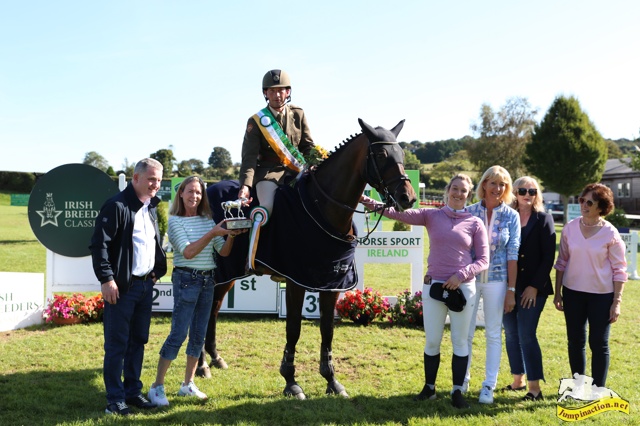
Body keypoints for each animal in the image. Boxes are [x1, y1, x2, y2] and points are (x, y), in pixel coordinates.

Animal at [201, 119, 420, 400]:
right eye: (381, 154)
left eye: (401, 153)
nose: (408, 197)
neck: (322, 207)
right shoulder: (296, 281)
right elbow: (293, 328)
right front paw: (290, 381)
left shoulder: (332, 283)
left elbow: (327, 329)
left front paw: (332, 380)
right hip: (218, 271)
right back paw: (202, 365)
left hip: (230, 273)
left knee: (214, 308)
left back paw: (215, 358)